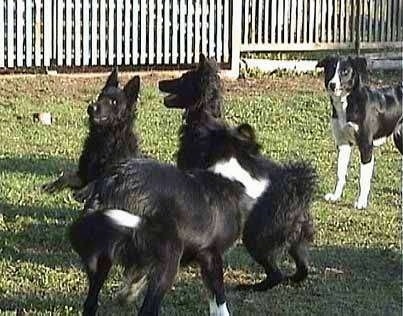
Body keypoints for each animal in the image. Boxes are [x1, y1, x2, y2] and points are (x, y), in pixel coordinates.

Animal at [159, 55, 318, 292]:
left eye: (183, 77)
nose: (160, 82)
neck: (204, 116)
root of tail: (296, 189)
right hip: (294, 239)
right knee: (302, 269)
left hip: (255, 235)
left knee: (276, 274)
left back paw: (250, 287)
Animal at [318, 55, 402, 209]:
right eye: (331, 69)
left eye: (345, 71)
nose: (332, 84)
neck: (348, 103)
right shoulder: (343, 144)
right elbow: (340, 173)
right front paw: (335, 196)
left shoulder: (366, 146)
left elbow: (363, 179)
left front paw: (362, 202)